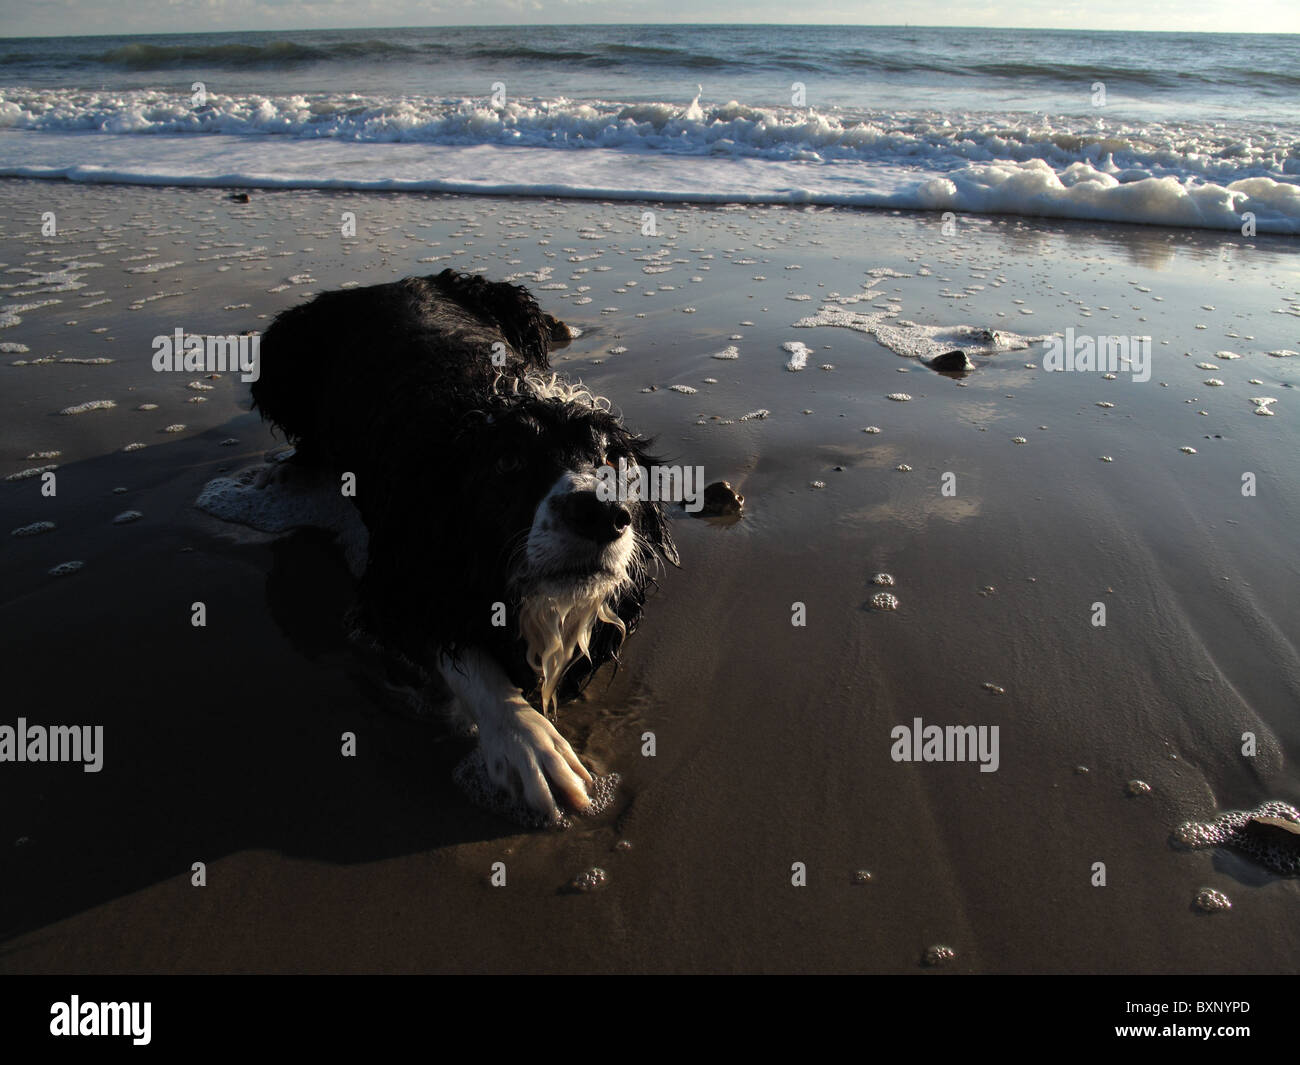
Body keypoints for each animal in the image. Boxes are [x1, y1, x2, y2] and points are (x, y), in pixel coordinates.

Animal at [250, 269, 681, 827]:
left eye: (611, 459)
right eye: (508, 462)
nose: (603, 516)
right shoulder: (393, 577)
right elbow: (460, 649)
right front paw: (528, 743)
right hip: (284, 351)